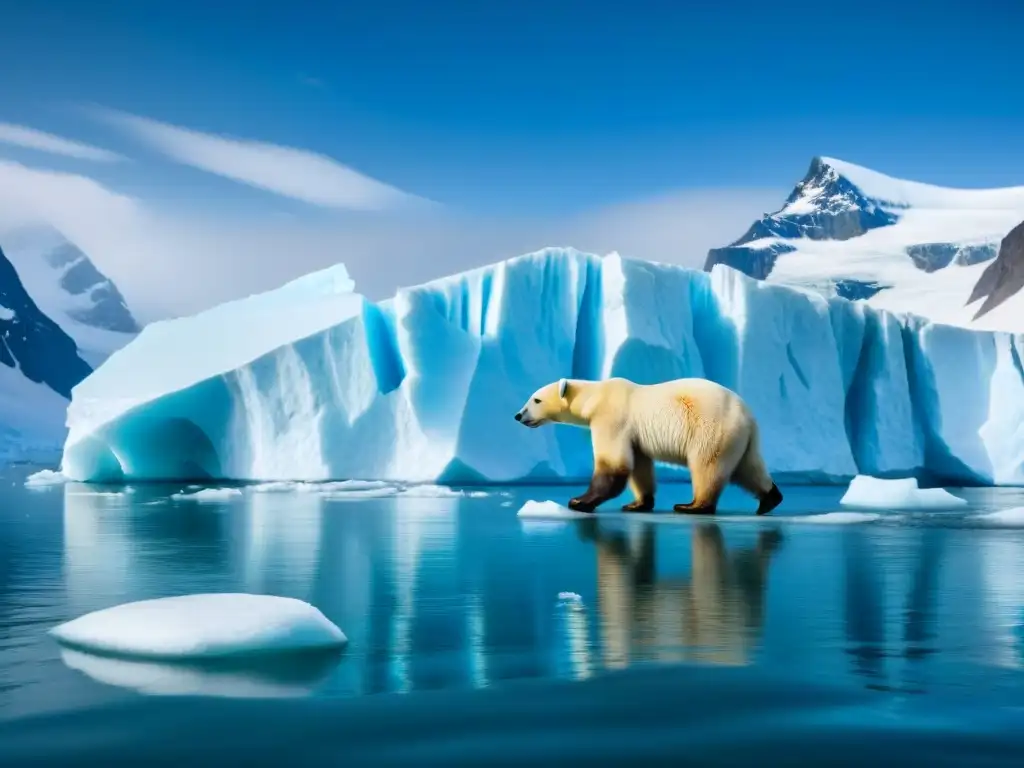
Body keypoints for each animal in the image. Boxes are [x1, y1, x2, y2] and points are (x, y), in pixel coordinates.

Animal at [512, 376, 782, 518]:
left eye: (536, 399)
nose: (518, 415)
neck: (596, 396)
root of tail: (749, 416)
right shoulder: (634, 434)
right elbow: (639, 466)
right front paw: (637, 504)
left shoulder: (611, 417)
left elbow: (613, 465)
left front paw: (579, 501)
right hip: (739, 437)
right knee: (748, 468)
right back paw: (769, 500)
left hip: (712, 428)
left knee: (707, 466)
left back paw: (691, 506)